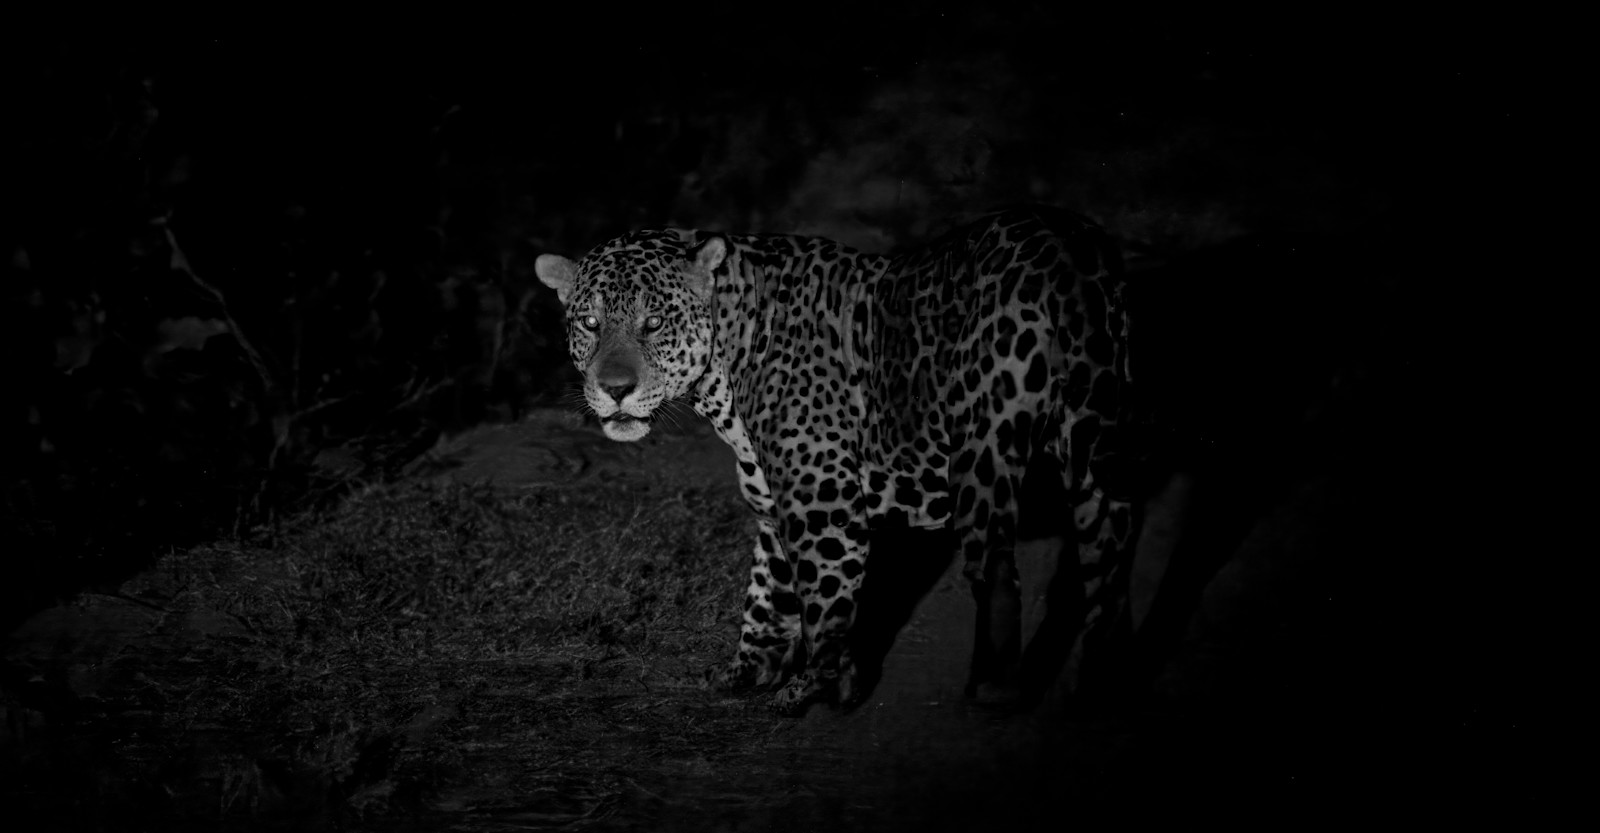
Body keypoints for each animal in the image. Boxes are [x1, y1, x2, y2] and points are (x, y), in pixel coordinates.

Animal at [535, 205, 1140, 714]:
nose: (614, 389)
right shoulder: (773, 495)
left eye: (654, 324)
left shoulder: (820, 496)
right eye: (590, 324)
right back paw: (1098, 684)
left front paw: (821, 685)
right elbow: (767, 591)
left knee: (995, 566)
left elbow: (823, 598)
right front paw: (746, 672)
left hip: (985, 444)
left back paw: (994, 688)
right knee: (1109, 566)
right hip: (1097, 442)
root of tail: (1068, 245)